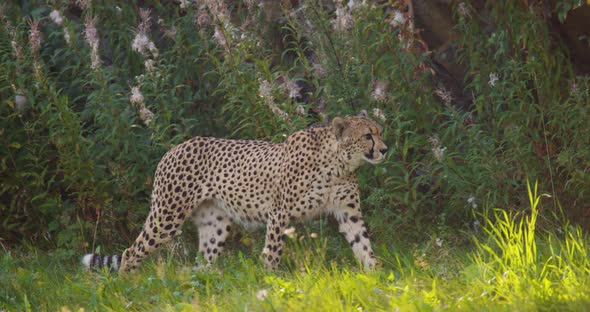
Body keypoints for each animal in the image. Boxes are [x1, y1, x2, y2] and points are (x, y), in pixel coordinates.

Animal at [83, 111, 388, 272]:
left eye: (380, 131)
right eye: (367, 136)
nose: (385, 150)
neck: (338, 164)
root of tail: (175, 148)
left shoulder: (348, 212)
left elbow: (362, 244)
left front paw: (376, 275)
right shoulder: (279, 213)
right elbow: (273, 250)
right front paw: (272, 278)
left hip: (214, 223)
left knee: (204, 262)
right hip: (167, 217)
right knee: (132, 252)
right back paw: (127, 284)